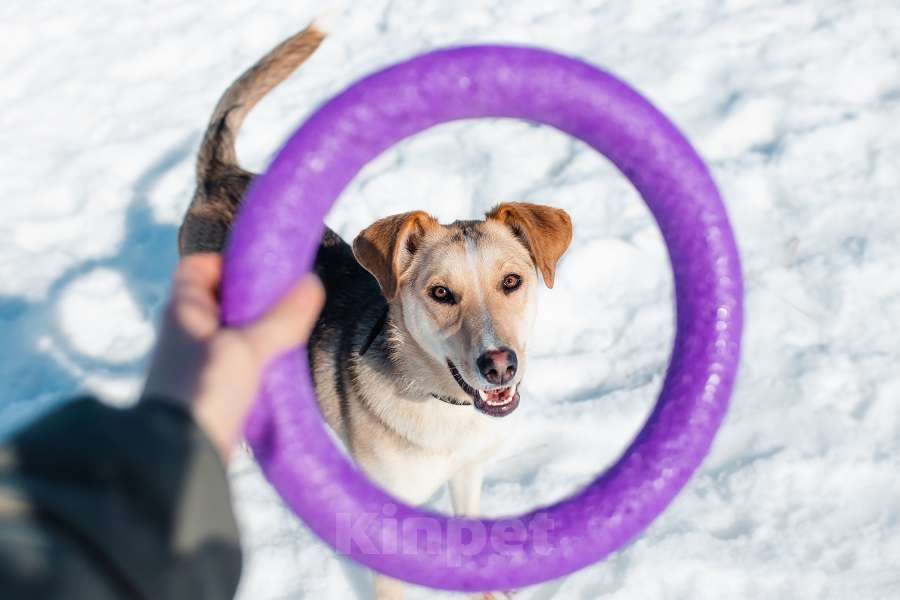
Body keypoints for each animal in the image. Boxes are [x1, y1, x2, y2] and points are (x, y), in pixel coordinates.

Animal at [179, 23, 572, 600]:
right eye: (440, 293)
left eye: (512, 282)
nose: (499, 365)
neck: (442, 406)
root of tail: (220, 176)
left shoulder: (468, 473)